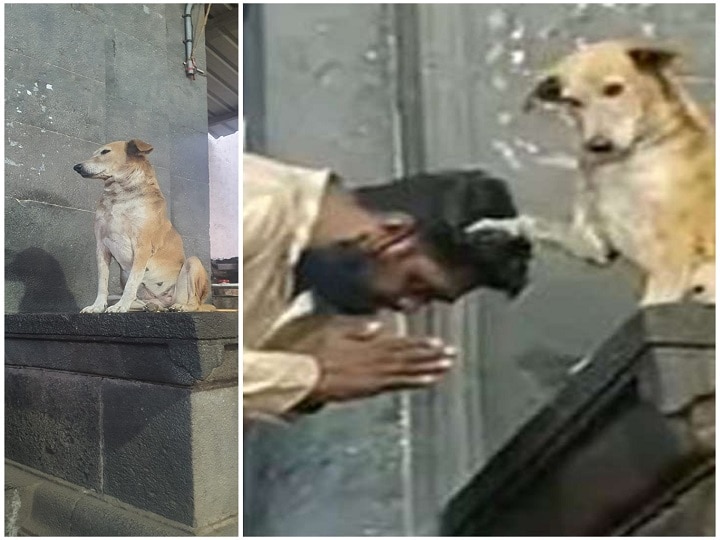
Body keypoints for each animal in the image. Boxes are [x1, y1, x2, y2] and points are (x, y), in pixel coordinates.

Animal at [77, 139, 217, 314]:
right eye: (94, 153)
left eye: (105, 152)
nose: (77, 167)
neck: (119, 197)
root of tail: (164, 302)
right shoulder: (101, 247)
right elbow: (102, 283)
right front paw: (97, 306)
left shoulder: (142, 246)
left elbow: (132, 283)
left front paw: (121, 306)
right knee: (136, 300)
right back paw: (149, 306)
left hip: (192, 264)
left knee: (195, 302)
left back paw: (181, 306)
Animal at [466, 40, 716, 306]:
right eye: (573, 101)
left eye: (614, 89)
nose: (598, 145)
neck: (623, 163)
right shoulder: (595, 244)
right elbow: (534, 222)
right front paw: (497, 226)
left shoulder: (670, 266)